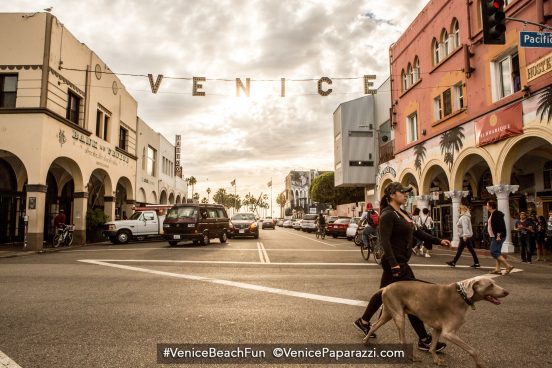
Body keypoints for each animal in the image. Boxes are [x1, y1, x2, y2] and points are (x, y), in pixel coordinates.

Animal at [362, 278, 508, 366]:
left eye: (494, 282)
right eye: (490, 285)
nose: (506, 292)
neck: (462, 296)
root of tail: (385, 287)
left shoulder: (438, 328)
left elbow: (432, 347)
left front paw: (436, 360)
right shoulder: (449, 333)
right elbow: (473, 350)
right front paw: (480, 364)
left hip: (388, 313)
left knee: (374, 326)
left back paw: (365, 340)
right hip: (398, 316)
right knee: (402, 340)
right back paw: (413, 357)